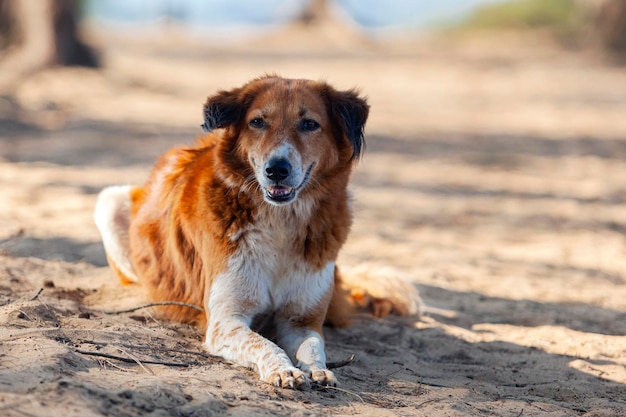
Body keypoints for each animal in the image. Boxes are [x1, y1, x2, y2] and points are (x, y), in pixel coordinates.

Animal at [94, 75, 420, 390]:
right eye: (258, 122)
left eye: (309, 124)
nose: (277, 169)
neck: (280, 222)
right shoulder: (225, 320)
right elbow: (263, 344)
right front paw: (283, 370)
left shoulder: (301, 320)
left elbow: (314, 347)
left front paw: (318, 371)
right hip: (108, 201)